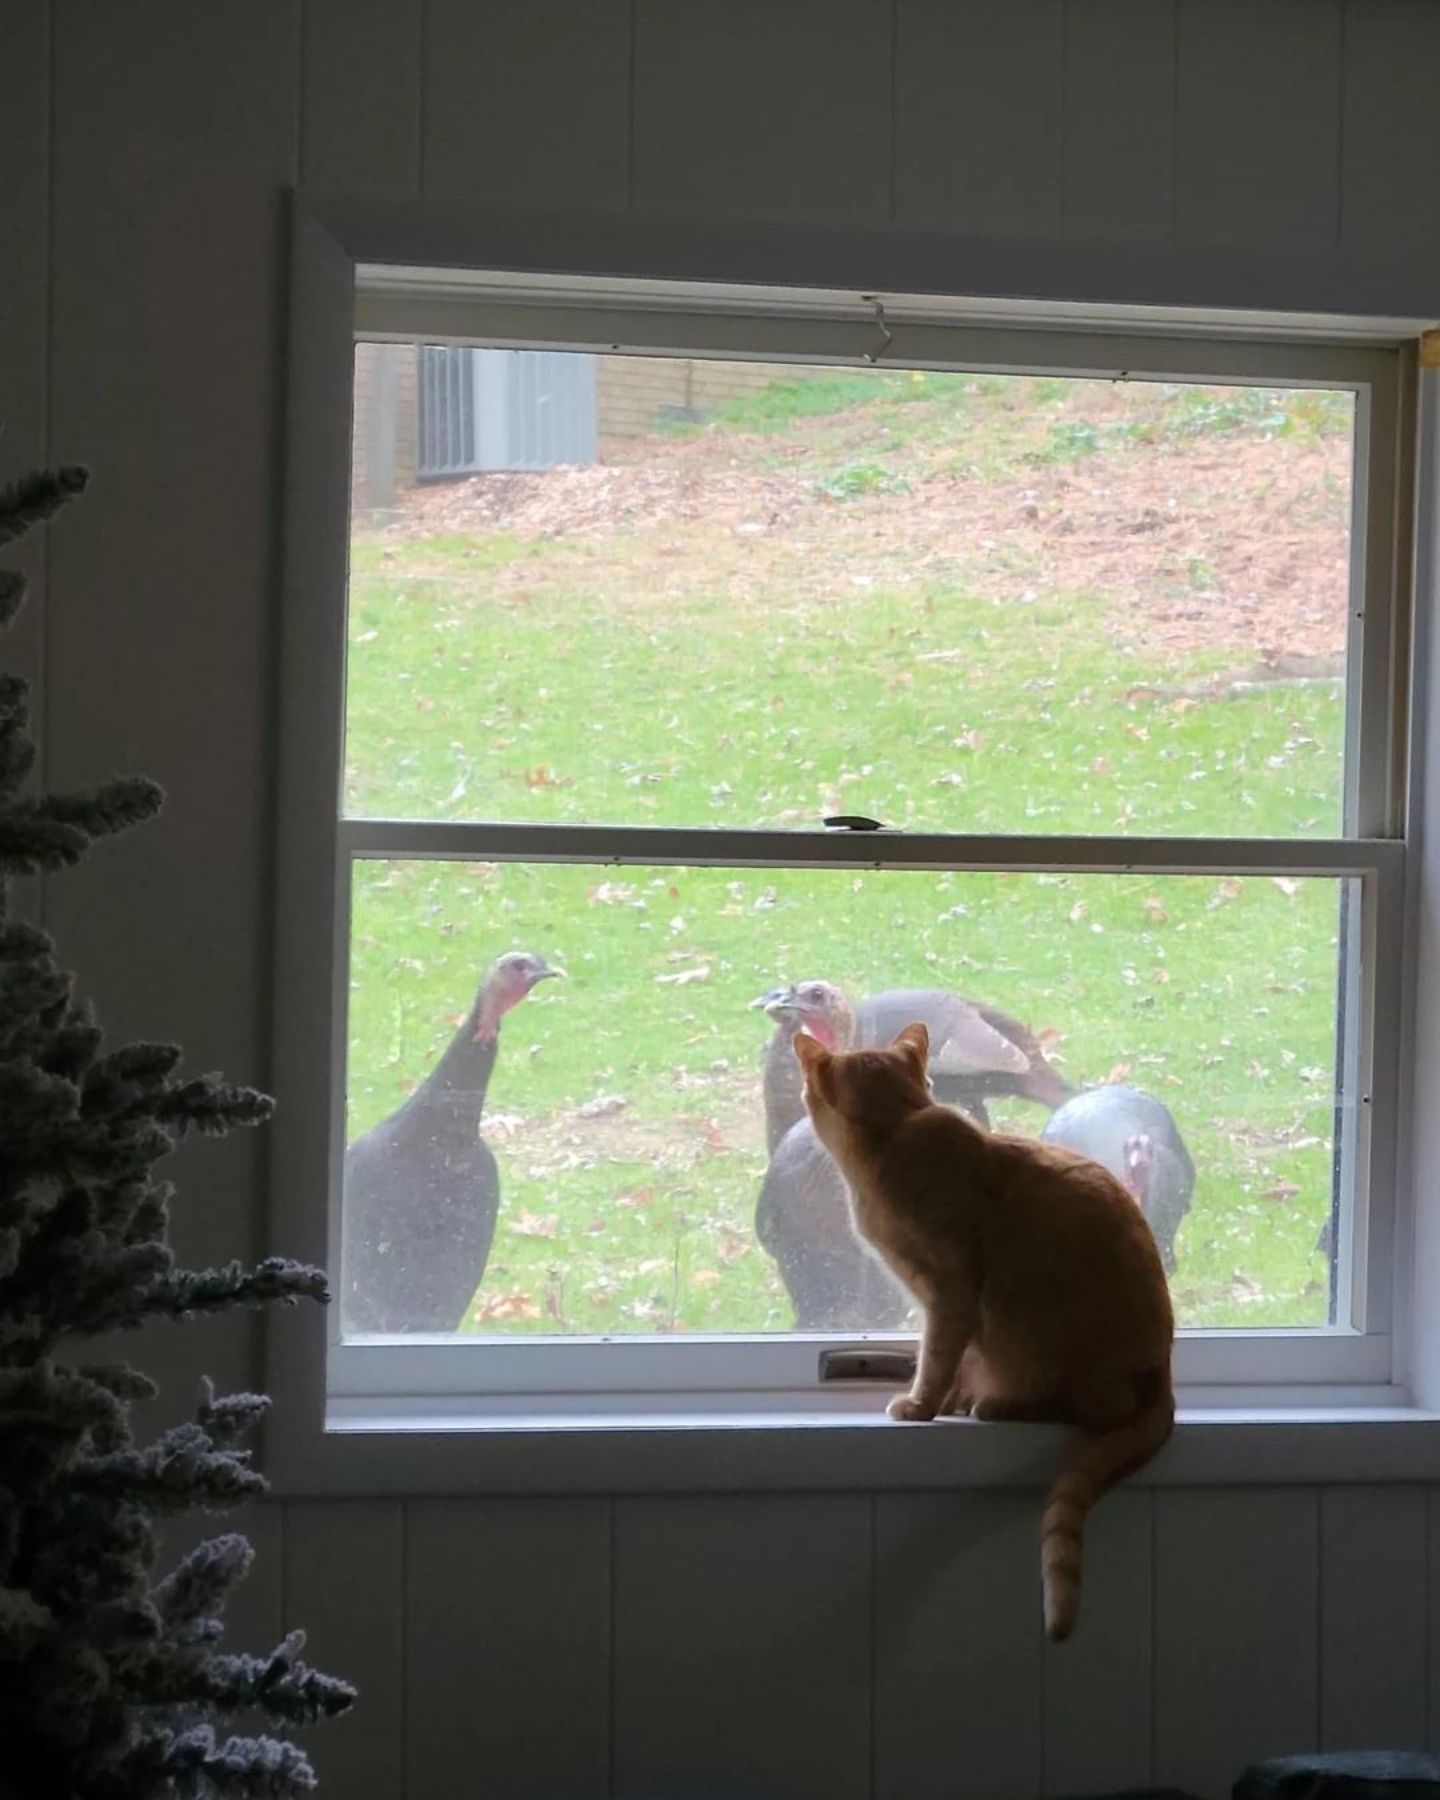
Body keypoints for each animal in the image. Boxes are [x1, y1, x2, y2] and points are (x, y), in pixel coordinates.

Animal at [792, 1022, 1173, 1641]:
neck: (893, 1135)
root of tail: (1165, 1372)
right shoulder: (940, 1302)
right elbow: (953, 1361)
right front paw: (944, 1401)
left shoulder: (950, 1292)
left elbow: (937, 1358)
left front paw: (922, 1406)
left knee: (1097, 1411)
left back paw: (1001, 1406)